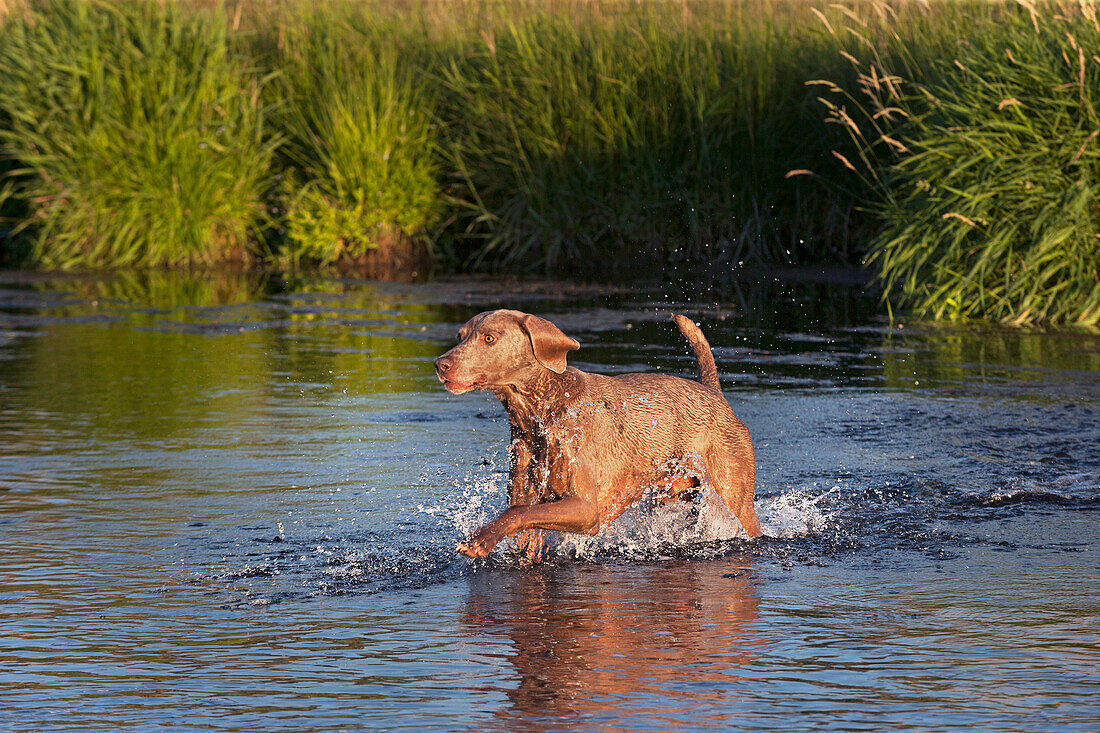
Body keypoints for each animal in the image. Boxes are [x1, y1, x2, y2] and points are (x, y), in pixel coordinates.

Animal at [433, 308, 761, 559]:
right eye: (460, 336)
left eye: (489, 338)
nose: (440, 364)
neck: (540, 416)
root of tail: (713, 391)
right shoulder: (525, 494)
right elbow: (521, 518)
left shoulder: (586, 509)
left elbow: (517, 514)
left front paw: (478, 540)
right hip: (673, 494)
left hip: (733, 490)